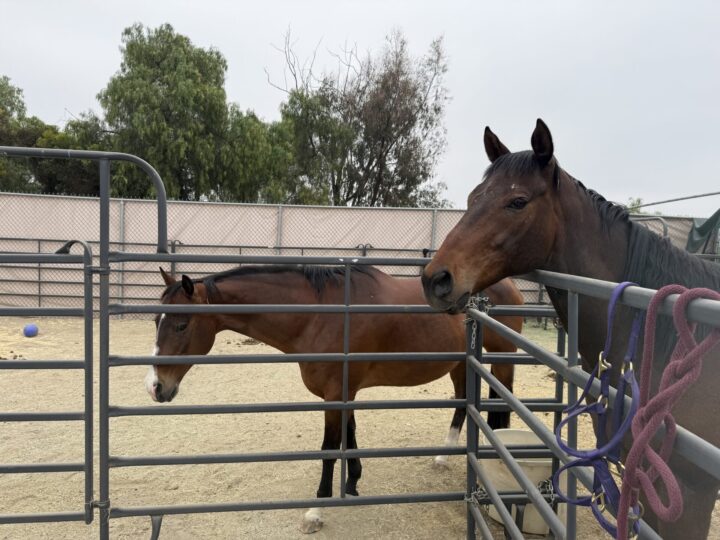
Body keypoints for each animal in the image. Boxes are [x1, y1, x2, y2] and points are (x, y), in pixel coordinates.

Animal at [147, 264, 524, 533]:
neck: (319, 314)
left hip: (503, 360)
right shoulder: (345, 392)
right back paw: (444, 455)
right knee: (463, 399)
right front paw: (353, 481)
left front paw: (317, 510)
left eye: (181, 325)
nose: (155, 387)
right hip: (461, 363)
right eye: (156, 320)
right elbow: (349, 435)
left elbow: (329, 448)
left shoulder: (335, 394)